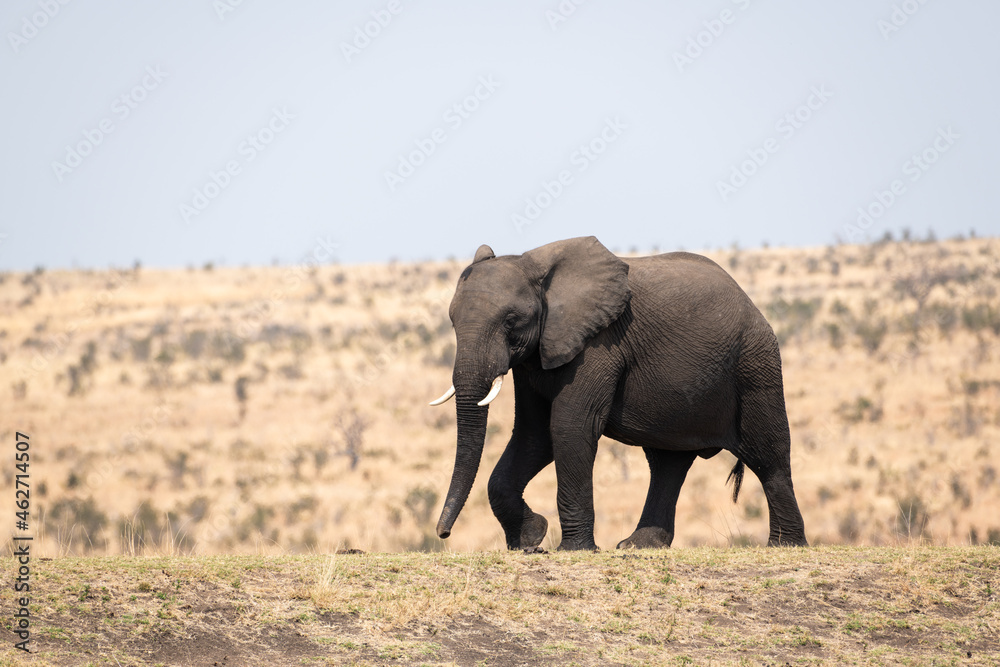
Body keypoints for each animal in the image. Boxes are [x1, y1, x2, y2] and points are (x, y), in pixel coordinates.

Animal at [426, 237, 808, 552]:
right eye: (452, 321)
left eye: (510, 321)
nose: (442, 533)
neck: (533, 264)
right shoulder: (536, 355)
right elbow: (533, 435)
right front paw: (531, 539)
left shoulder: (599, 343)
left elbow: (568, 427)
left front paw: (573, 550)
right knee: (668, 463)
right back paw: (639, 545)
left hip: (755, 364)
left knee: (768, 455)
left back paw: (785, 545)